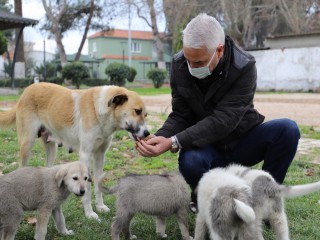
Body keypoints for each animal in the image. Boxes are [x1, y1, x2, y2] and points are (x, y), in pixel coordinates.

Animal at [0, 82, 149, 221]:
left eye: (146, 114)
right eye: (137, 111)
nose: (147, 133)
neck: (98, 110)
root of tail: (28, 89)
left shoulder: (100, 155)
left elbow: (98, 185)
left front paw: (100, 207)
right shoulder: (86, 156)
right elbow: (87, 189)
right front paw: (89, 213)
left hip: (51, 148)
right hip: (27, 144)